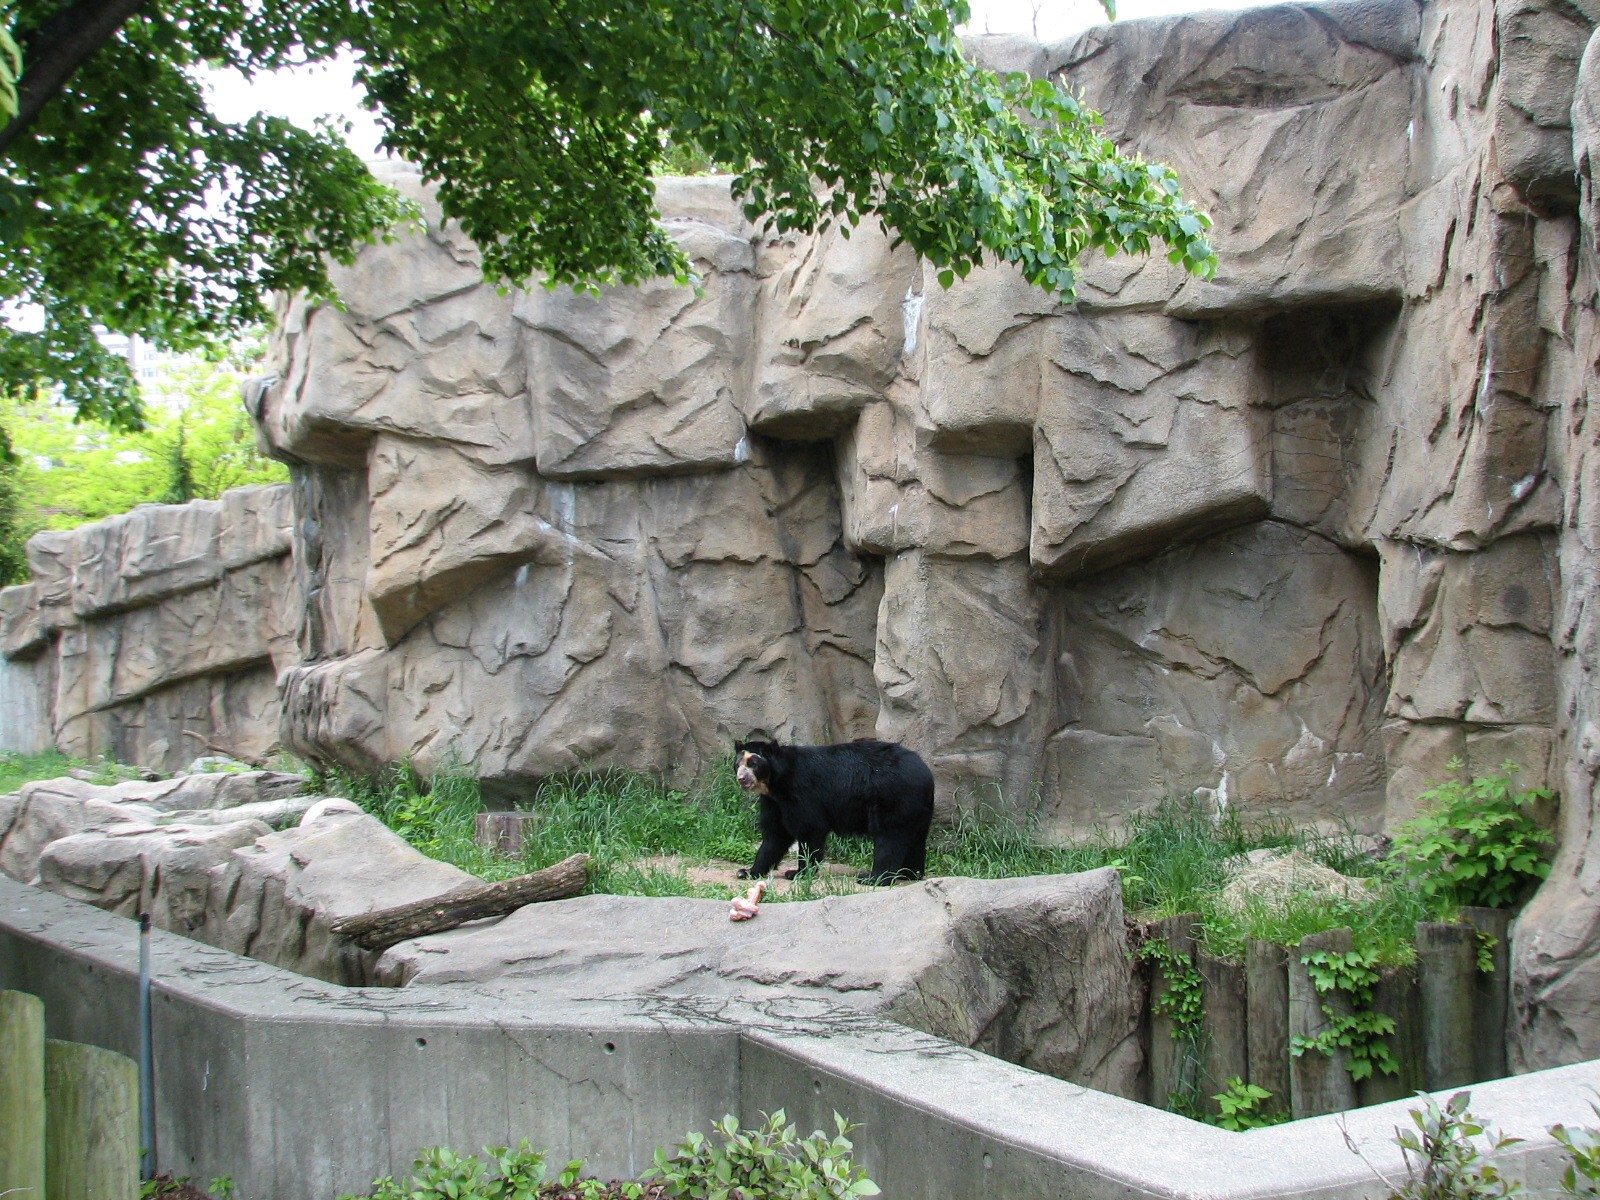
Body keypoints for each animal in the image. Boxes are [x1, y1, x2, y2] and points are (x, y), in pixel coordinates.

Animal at [732, 738, 936, 886]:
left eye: (753, 763)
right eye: (737, 764)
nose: (741, 779)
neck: (776, 783)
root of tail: (926, 773)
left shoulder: (801, 793)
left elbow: (810, 829)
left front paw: (798, 873)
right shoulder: (774, 803)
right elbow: (775, 835)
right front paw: (747, 872)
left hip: (893, 796)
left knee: (889, 836)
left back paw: (873, 878)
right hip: (917, 807)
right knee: (914, 837)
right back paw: (909, 873)